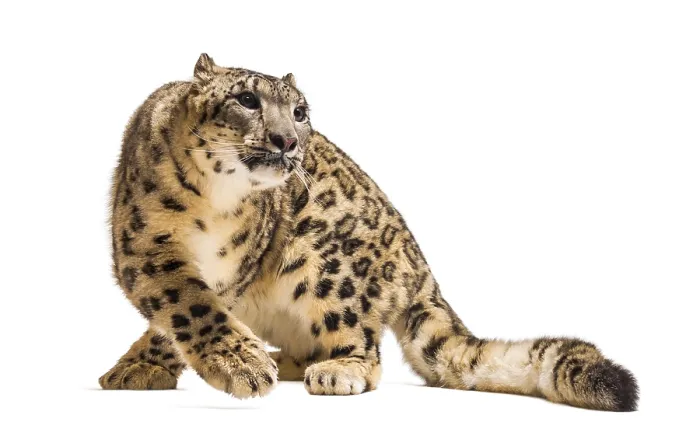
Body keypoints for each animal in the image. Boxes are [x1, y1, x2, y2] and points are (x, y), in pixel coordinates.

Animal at [99, 53, 639, 411]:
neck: (218, 201)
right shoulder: (146, 247)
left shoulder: (235, 266)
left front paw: (239, 367)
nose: (288, 141)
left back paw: (334, 371)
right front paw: (154, 366)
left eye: (300, 111)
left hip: (326, 265)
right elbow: (186, 305)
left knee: (366, 347)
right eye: (247, 99)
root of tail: (422, 271)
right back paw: (282, 360)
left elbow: (192, 309)